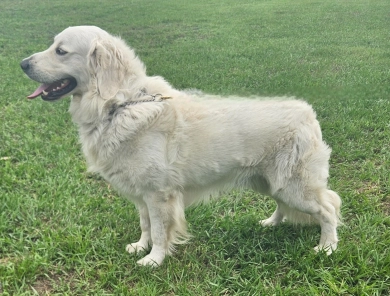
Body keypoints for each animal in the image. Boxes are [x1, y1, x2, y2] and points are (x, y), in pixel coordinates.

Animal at [20, 25, 342, 266]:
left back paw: (327, 247)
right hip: (270, 183)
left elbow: (160, 230)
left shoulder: (159, 194)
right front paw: (141, 246)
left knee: (328, 208)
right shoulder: (142, 195)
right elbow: (145, 225)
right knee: (284, 205)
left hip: (295, 186)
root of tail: (308, 112)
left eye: (61, 51)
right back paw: (271, 223)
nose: (22, 64)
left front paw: (154, 259)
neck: (120, 104)